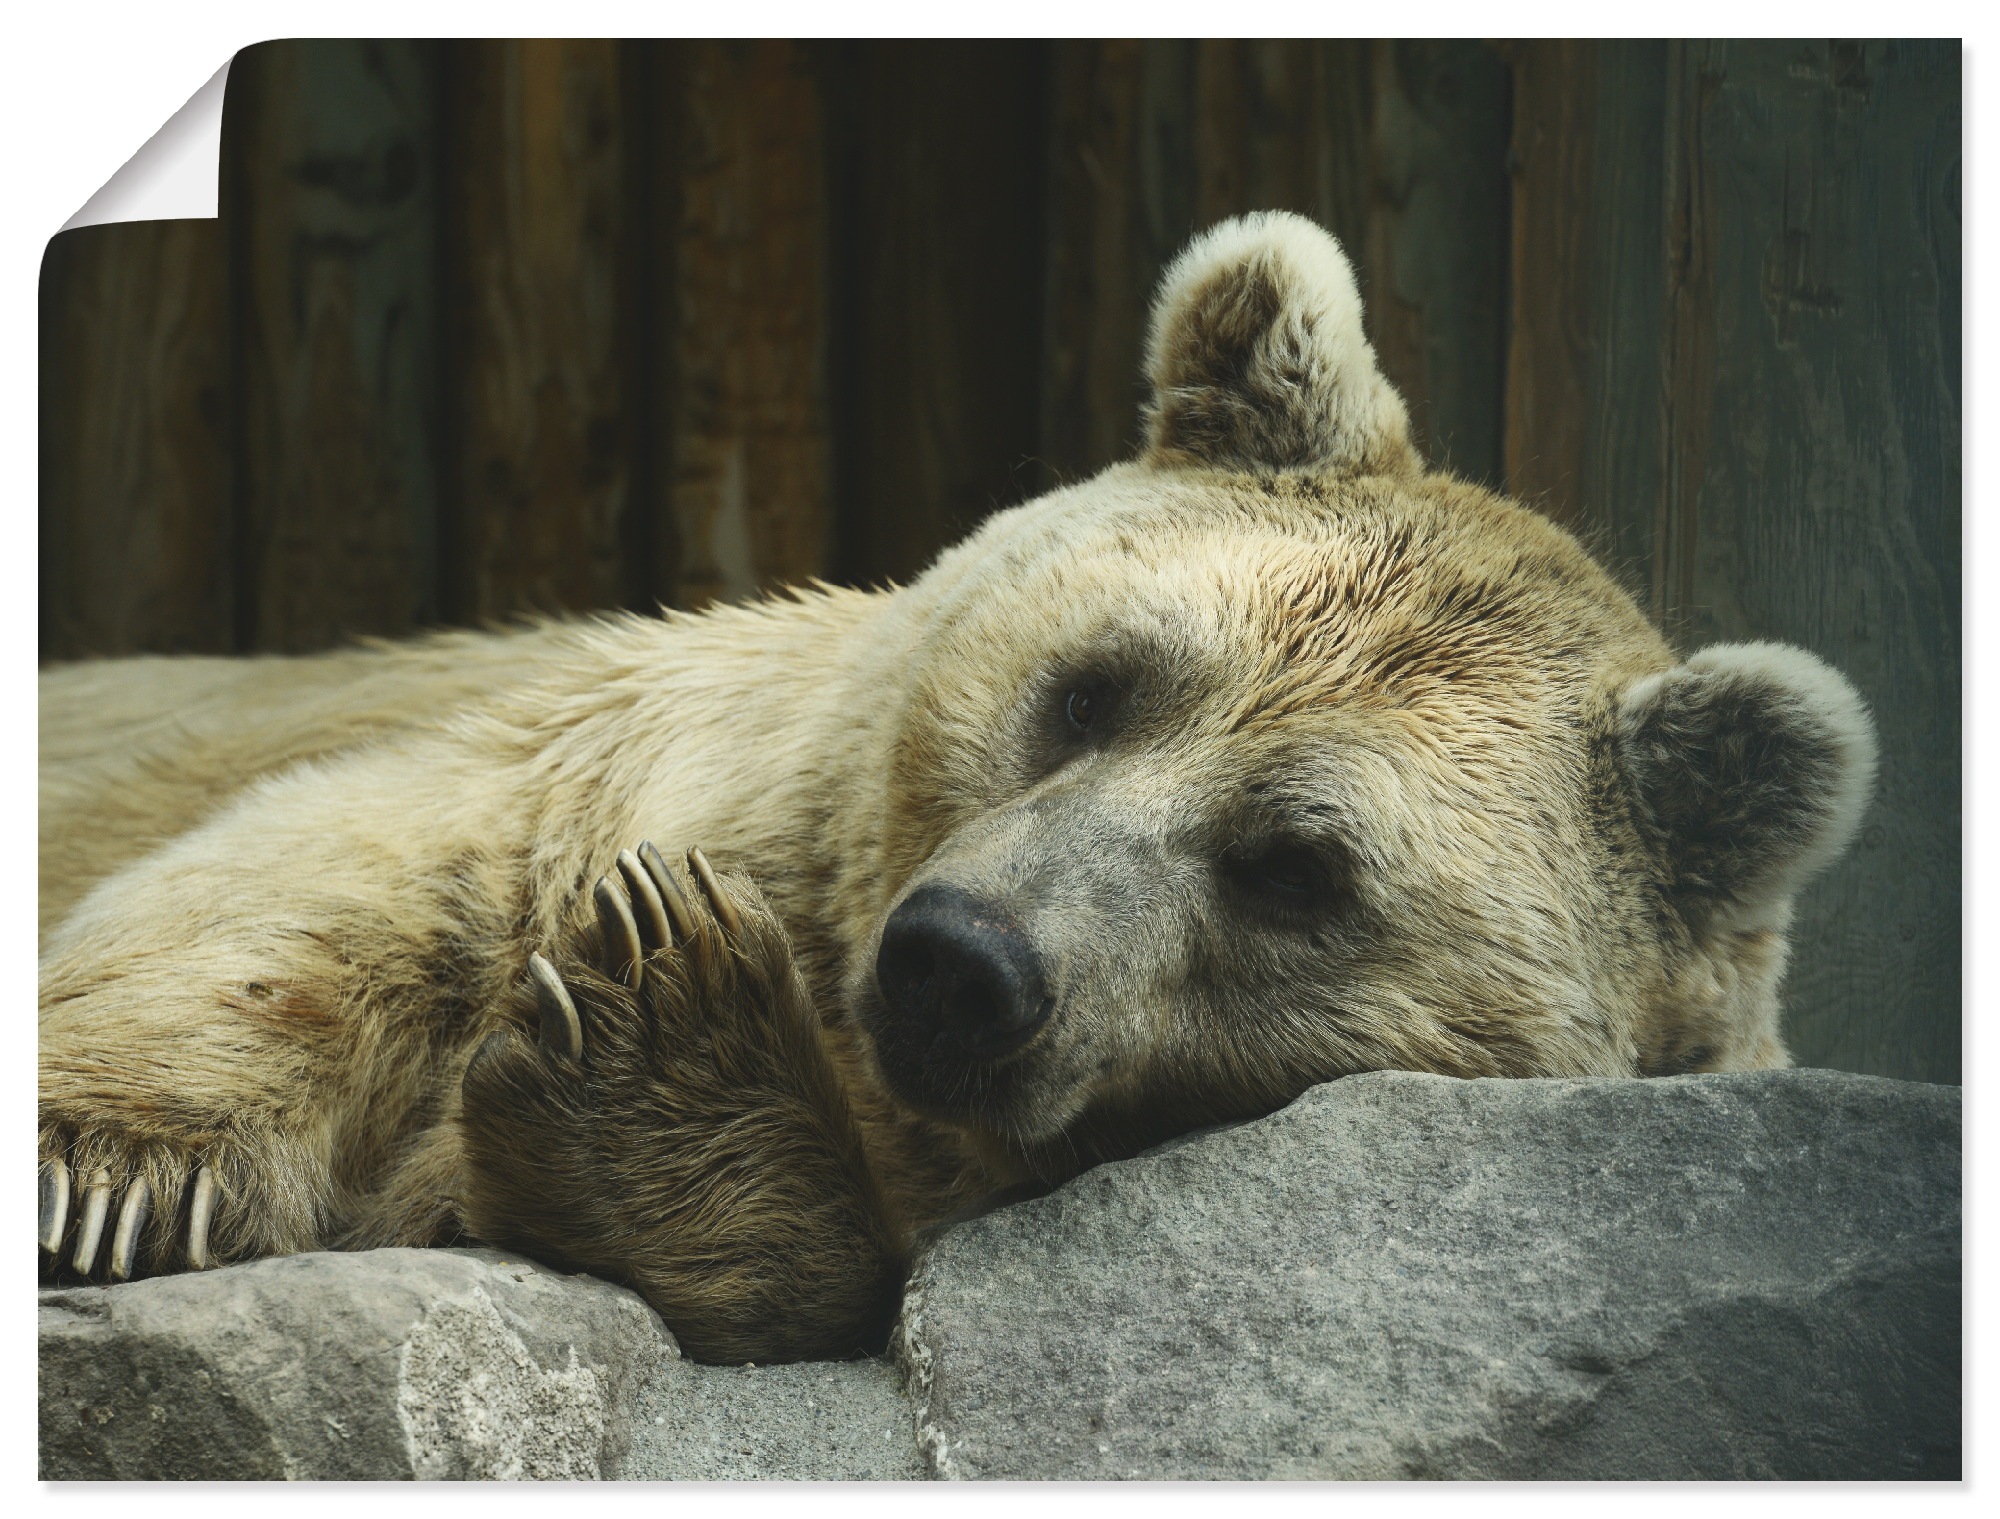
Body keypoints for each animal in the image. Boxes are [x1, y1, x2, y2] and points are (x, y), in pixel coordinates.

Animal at [37, 211, 1878, 1363]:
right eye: (1097, 683)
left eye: (1296, 865)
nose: (965, 959)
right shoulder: (605, 761)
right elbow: (323, 873)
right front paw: (104, 1165)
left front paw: (656, 1057)